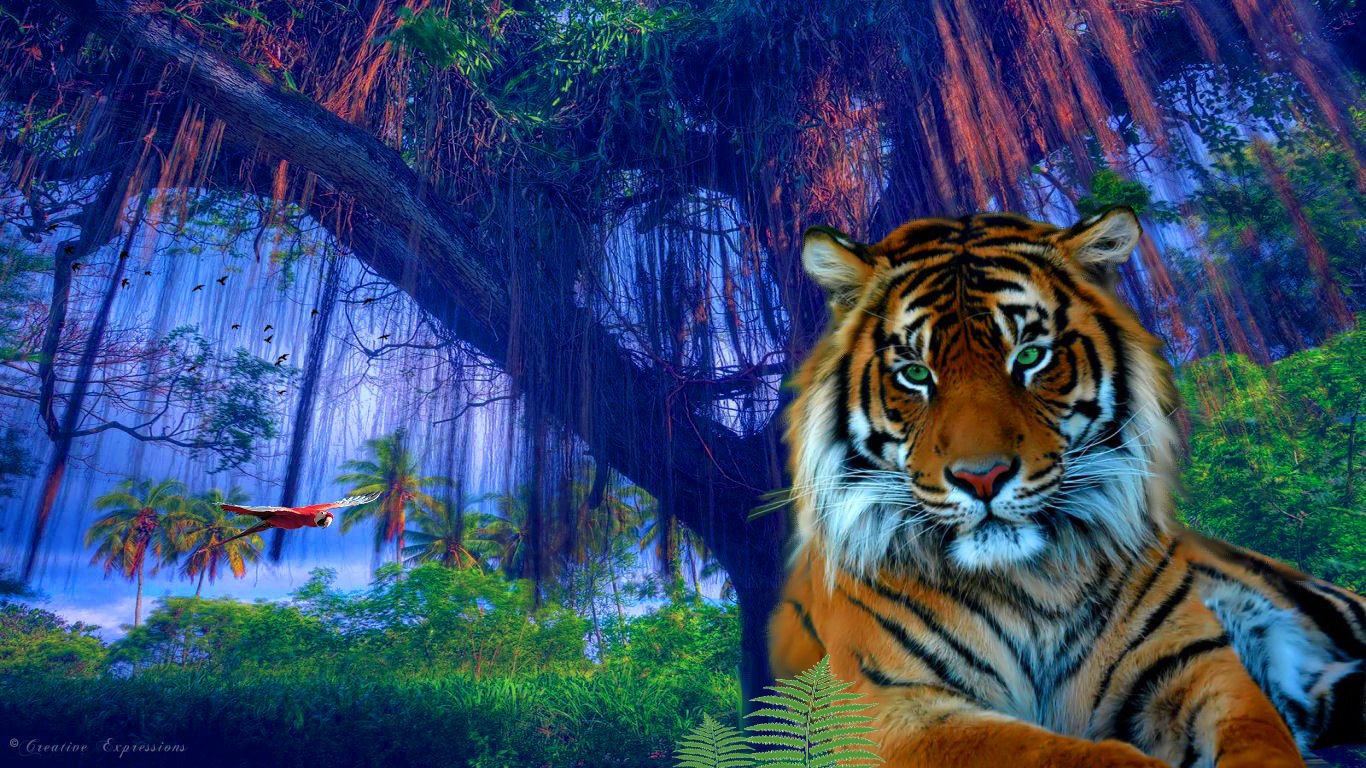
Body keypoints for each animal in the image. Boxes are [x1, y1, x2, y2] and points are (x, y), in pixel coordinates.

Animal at [768, 207, 1365, 768]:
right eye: (915, 373)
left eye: (1031, 357)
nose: (981, 477)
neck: (1037, 587)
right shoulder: (892, 708)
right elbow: (1067, 753)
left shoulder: (1191, 660)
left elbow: (1259, 739)